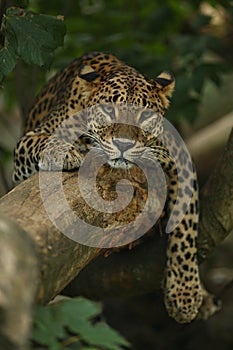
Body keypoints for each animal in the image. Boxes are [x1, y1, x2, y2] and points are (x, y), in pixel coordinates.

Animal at [12, 51, 217, 322]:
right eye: (109, 110)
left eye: (145, 116)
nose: (123, 144)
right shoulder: (27, 144)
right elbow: (44, 142)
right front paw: (66, 152)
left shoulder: (180, 159)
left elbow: (185, 226)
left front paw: (186, 294)